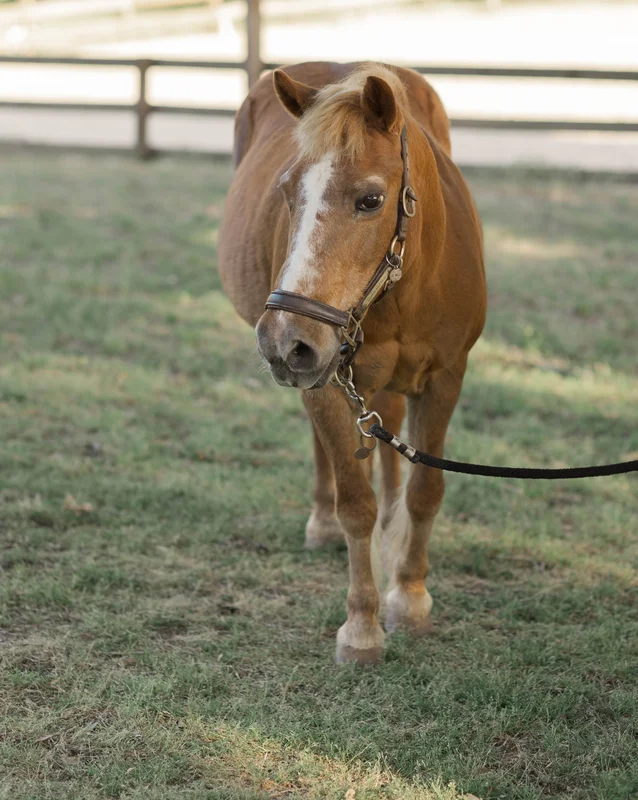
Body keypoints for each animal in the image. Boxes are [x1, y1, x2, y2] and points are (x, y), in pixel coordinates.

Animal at [218, 61, 486, 665]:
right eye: (286, 190)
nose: (284, 340)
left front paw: (409, 598)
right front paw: (362, 627)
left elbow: (425, 490)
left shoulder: (446, 378)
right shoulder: (327, 380)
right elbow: (355, 503)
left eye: (370, 200)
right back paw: (322, 523)